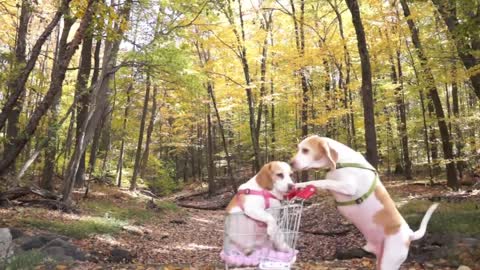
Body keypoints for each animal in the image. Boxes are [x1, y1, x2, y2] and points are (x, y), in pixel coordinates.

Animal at [288, 136, 438, 270]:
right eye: (298, 148)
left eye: (305, 150)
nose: (290, 163)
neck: (341, 162)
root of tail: (410, 234)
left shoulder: (348, 187)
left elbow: (322, 181)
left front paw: (300, 184)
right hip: (380, 261)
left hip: (389, 262)